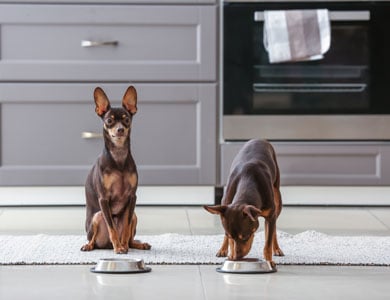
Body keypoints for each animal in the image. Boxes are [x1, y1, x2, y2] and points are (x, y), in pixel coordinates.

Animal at [80, 86, 151, 253]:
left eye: (127, 120)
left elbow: (125, 227)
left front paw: (122, 246)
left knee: (130, 237)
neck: (118, 156)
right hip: (97, 216)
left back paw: (137, 244)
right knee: (94, 239)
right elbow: (112, 228)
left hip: (134, 215)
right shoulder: (104, 199)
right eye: (109, 121)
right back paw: (89, 245)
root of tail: (105, 246)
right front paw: (118, 247)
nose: (120, 130)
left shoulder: (132, 198)